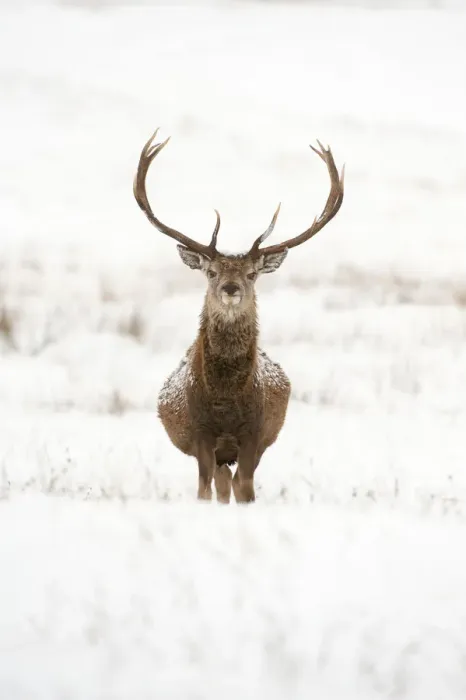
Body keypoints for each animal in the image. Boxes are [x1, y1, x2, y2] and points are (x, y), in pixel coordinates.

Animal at [133, 128, 344, 504]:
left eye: (252, 273)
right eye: (211, 271)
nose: (231, 288)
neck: (226, 400)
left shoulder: (255, 434)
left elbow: (246, 489)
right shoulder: (200, 433)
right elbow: (203, 489)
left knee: (230, 483)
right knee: (219, 482)